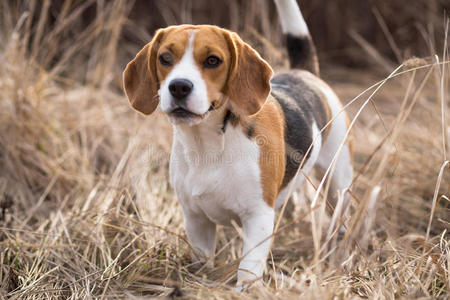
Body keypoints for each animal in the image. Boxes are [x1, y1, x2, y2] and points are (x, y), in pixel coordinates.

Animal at [122, 0, 352, 290]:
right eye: (165, 58)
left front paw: (244, 292)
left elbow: (248, 269)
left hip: (338, 183)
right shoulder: (196, 220)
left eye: (213, 60)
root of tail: (305, 72)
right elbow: (202, 261)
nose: (179, 87)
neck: (207, 145)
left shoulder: (258, 217)